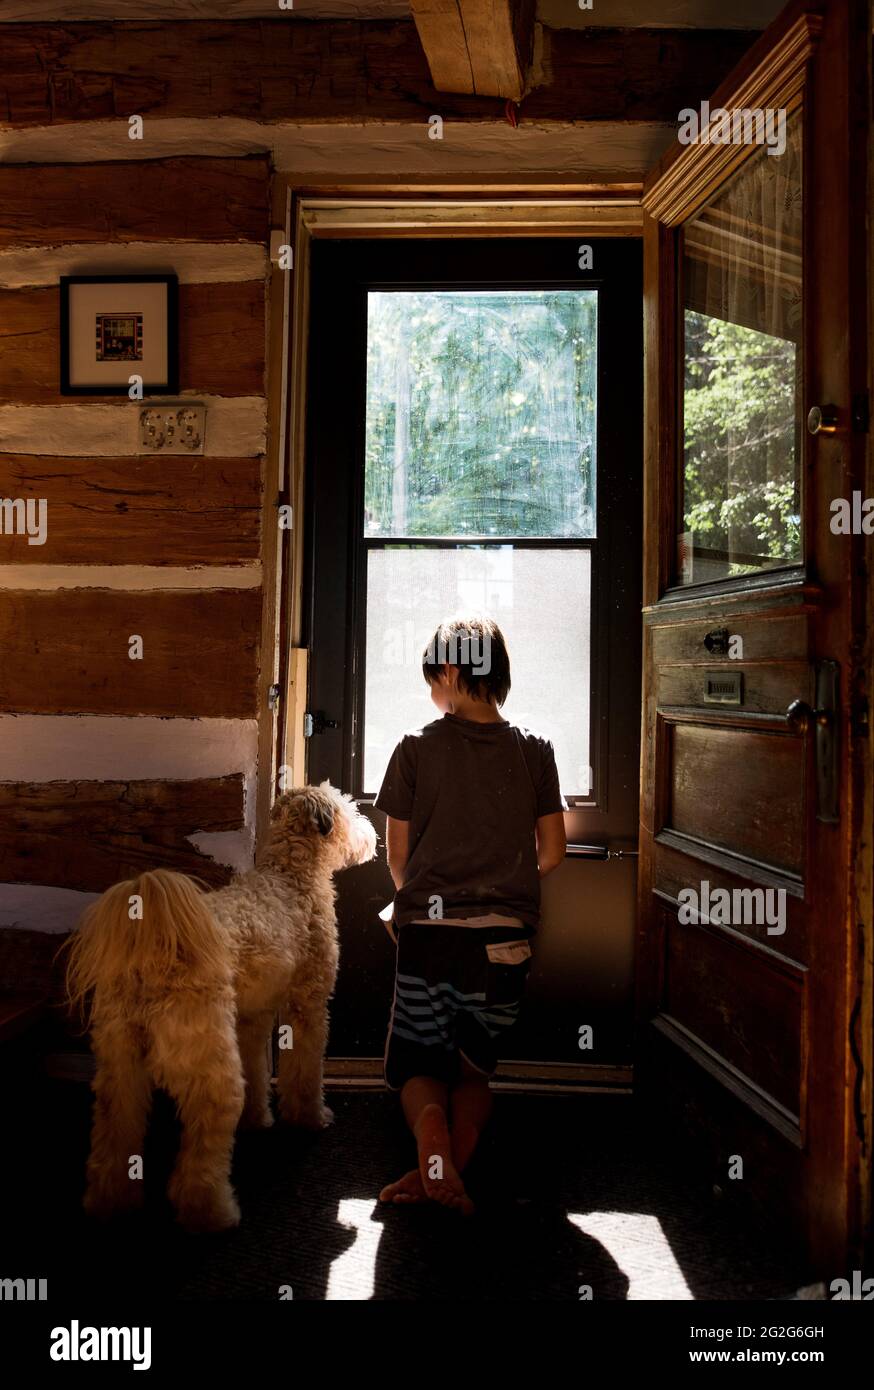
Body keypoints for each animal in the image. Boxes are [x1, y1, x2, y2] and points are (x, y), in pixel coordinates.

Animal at [61, 789, 375, 1234]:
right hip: (209, 1062)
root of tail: (155, 955)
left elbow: (259, 1070)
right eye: (349, 808)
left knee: (114, 1132)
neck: (290, 873)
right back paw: (212, 1212)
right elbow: (304, 1072)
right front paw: (311, 1117)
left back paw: (110, 1203)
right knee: (205, 1141)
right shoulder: (308, 1006)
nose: (371, 831)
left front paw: (258, 1120)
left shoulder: (251, 1018)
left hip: (119, 1066)